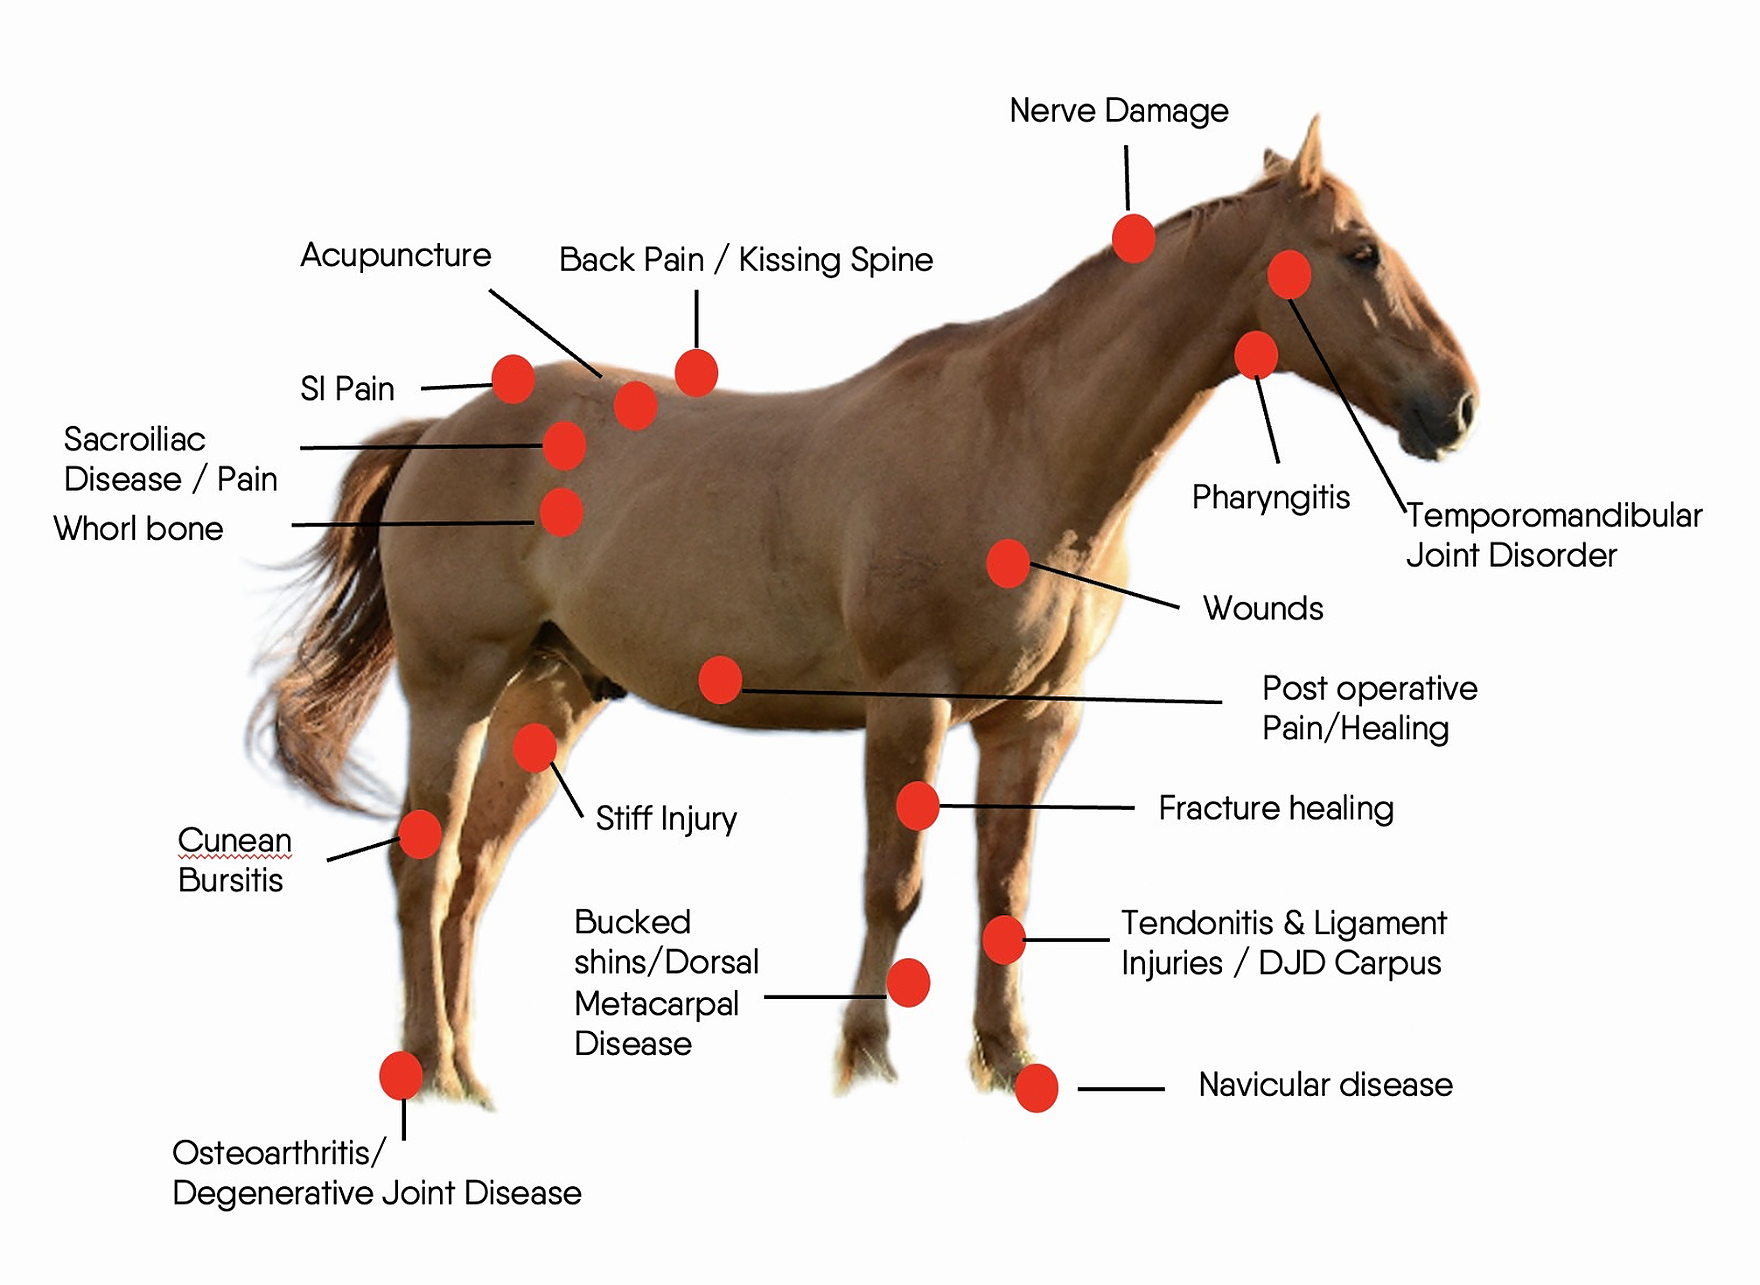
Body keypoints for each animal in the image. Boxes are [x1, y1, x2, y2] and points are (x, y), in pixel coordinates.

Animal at [258, 119, 1477, 1104]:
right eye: (1359, 251)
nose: (1457, 406)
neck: (1022, 439)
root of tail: (439, 431)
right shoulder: (910, 704)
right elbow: (895, 885)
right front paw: (865, 1060)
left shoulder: (1034, 721)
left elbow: (1002, 884)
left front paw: (1007, 1061)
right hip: (453, 687)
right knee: (423, 869)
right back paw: (427, 1068)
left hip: (550, 692)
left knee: (473, 877)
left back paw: (468, 1078)